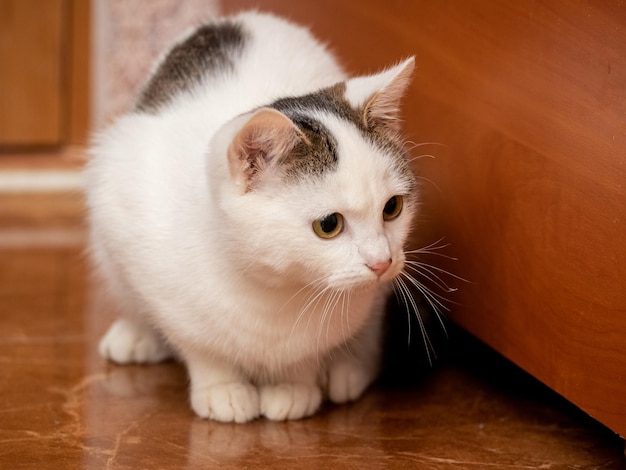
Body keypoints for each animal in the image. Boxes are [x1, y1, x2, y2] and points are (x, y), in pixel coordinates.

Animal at [83, 11, 414, 422]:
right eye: (329, 225)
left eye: (392, 208)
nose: (381, 262)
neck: (276, 291)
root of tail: (238, 17)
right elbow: (199, 343)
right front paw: (221, 387)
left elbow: (307, 353)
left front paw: (293, 385)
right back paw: (136, 335)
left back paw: (347, 367)